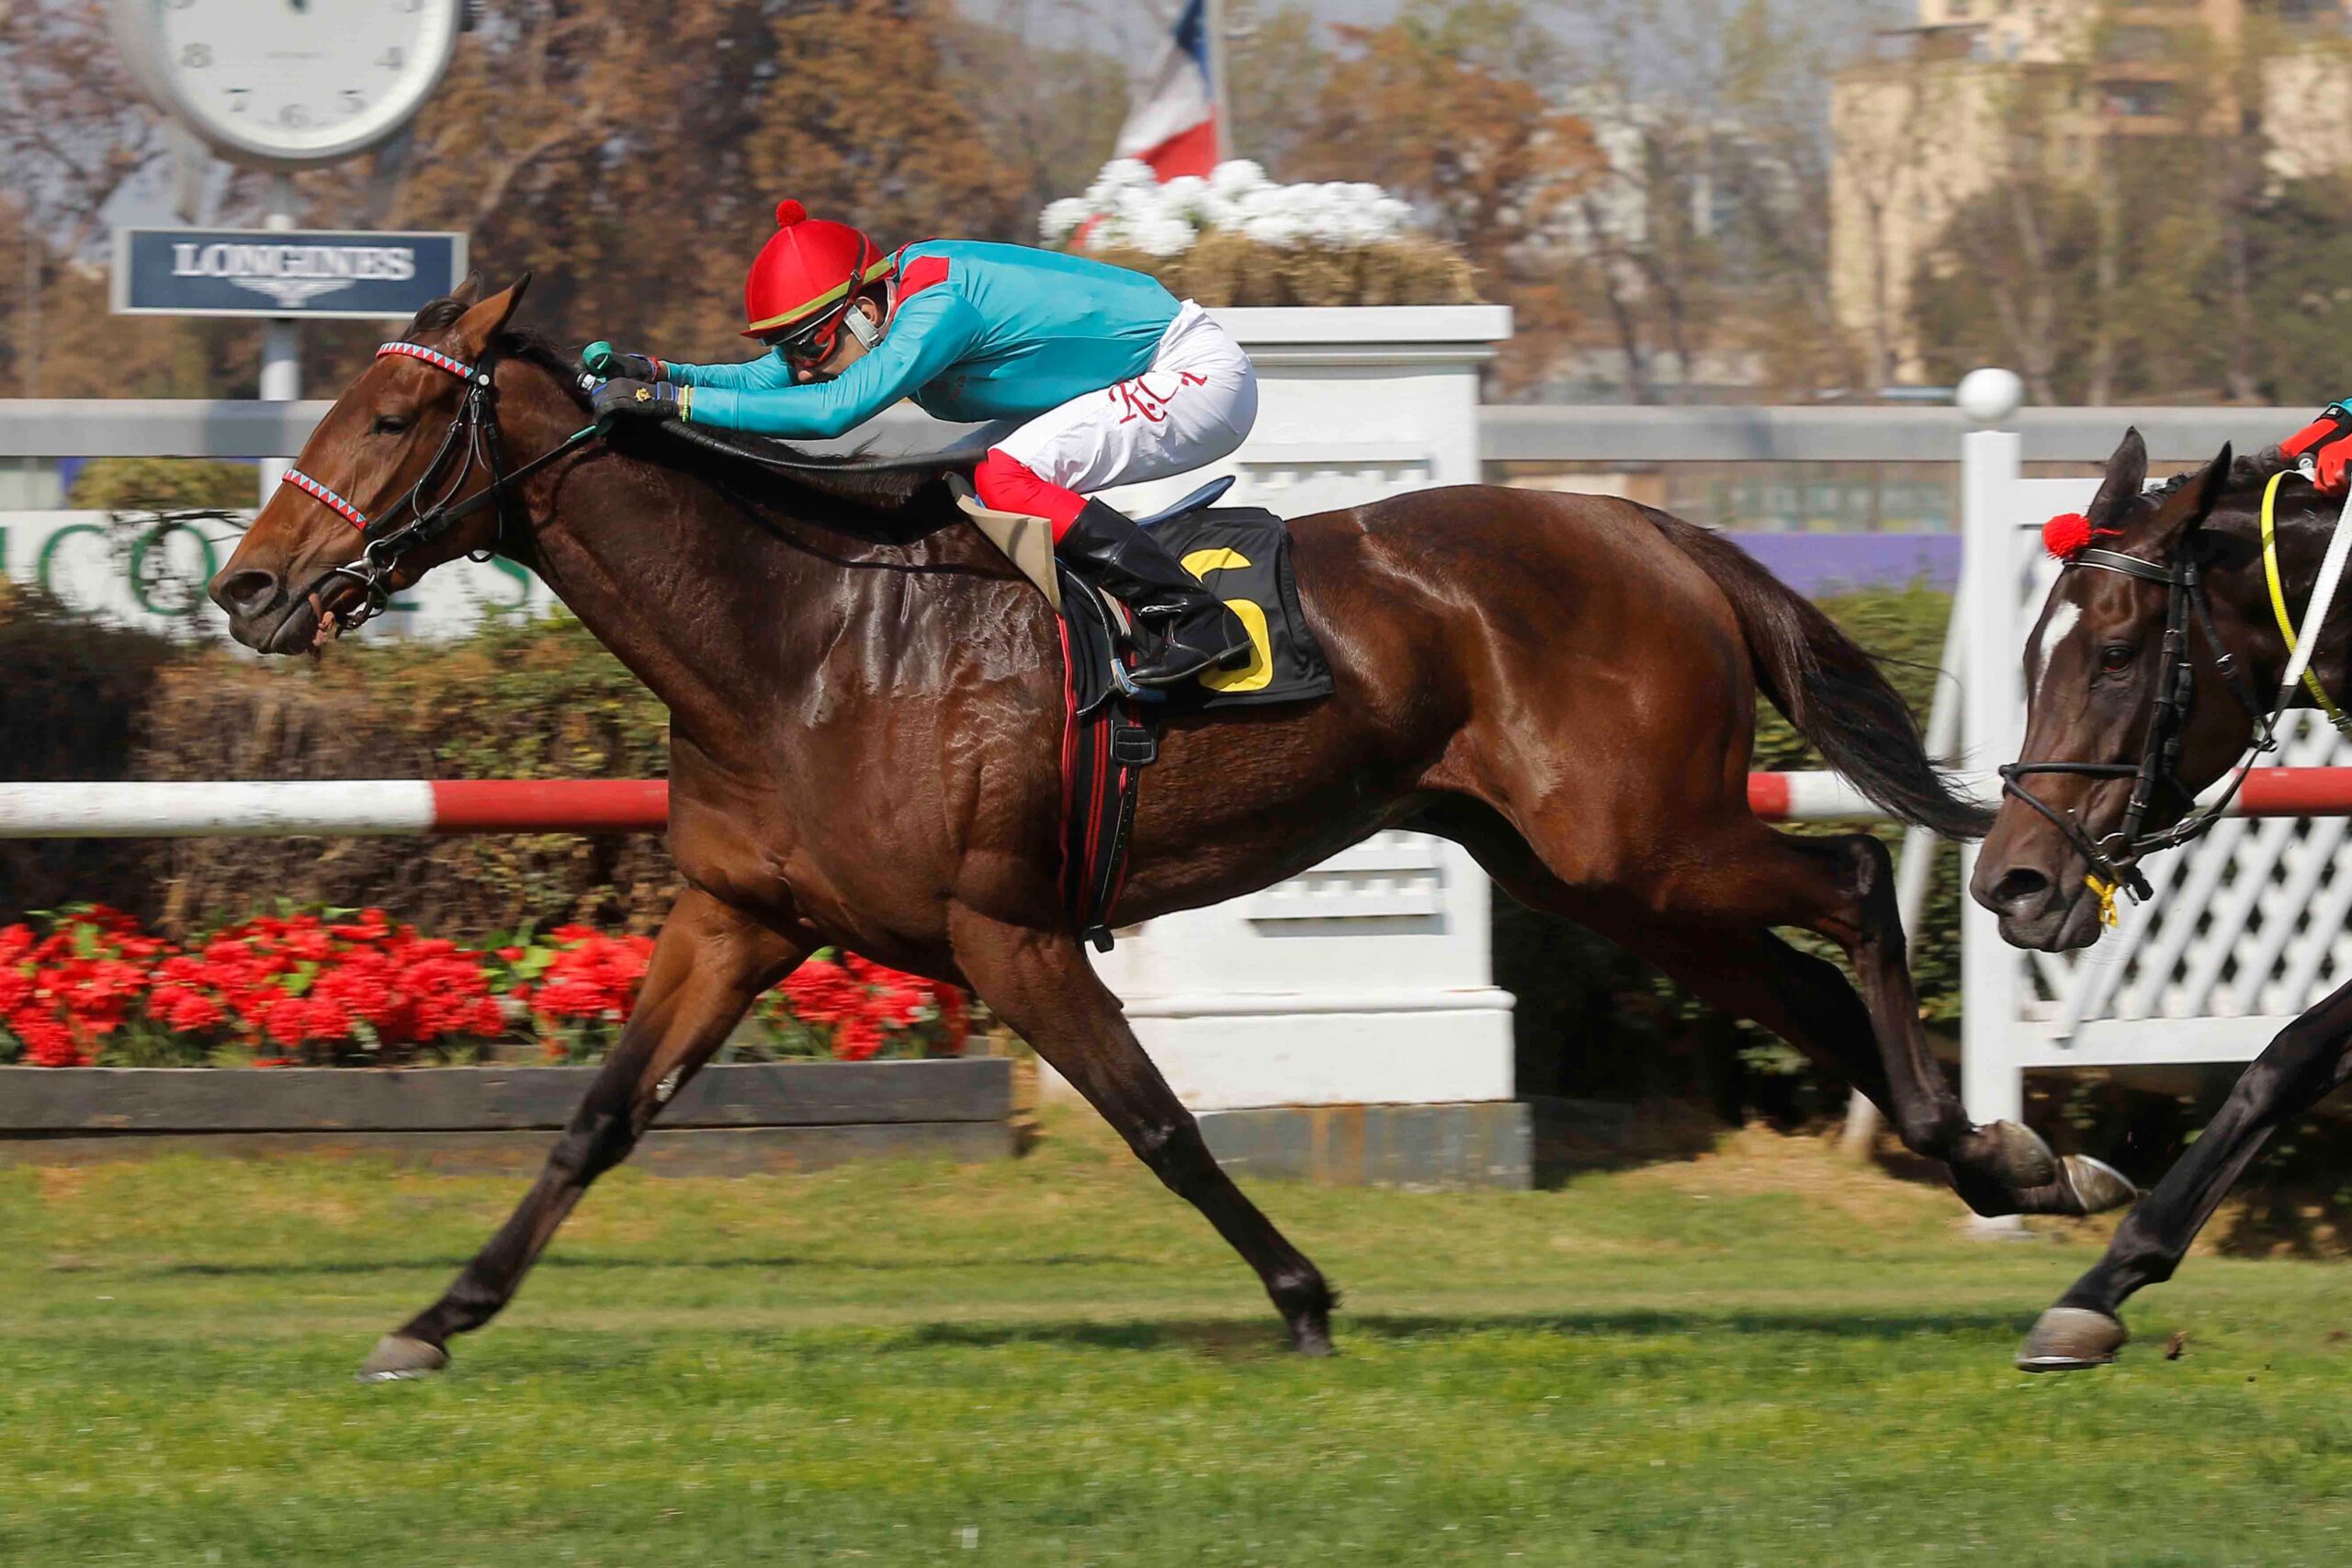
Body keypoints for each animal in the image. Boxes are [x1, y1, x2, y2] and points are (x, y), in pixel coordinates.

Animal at [208, 274, 2122, 1383]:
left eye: (394, 413)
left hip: (1633, 835)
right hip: (1591, 865)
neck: (807, 636)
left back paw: (1988, 1147)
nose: (247, 589)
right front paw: (434, 1318)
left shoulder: (1005, 928)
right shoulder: (738, 916)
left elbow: (1160, 1123)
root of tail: (1650, 528)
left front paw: (1304, 1297)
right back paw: (2004, 1158)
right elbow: (601, 1117)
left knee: (1853, 878)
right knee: (1801, 983)